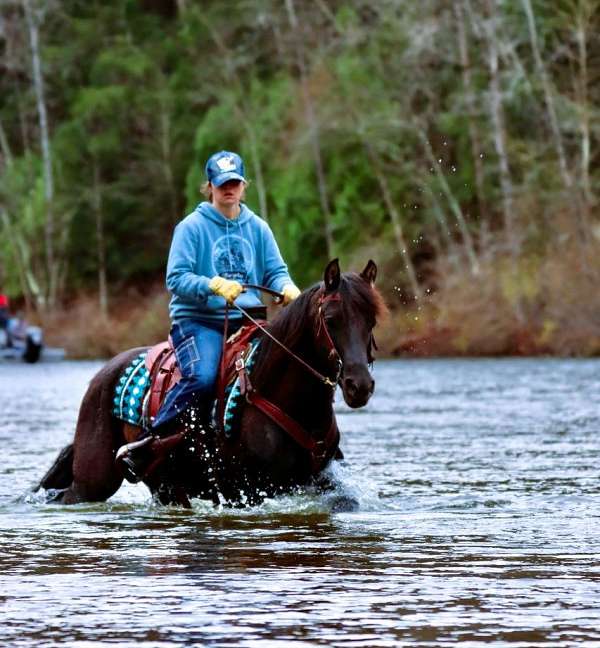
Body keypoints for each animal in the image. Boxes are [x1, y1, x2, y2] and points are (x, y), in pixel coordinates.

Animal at [37, 258, 386, 506]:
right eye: (330, 320)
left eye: (372, 320)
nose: (359, 385)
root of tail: (101, 375)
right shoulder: (256, 490)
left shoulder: (317, 478)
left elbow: (344, 501)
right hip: (93, 480)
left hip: (166, 484)